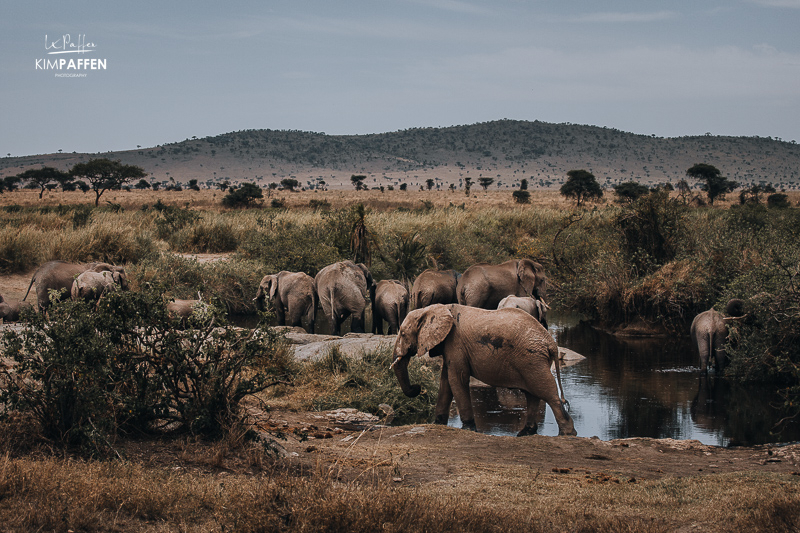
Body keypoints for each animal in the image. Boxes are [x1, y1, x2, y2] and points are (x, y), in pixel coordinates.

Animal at [392, 304, 576, 436]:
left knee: (546, 392)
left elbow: (457, 378)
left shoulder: (455, 343)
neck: (434, 309)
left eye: (402, 334)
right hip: (531, 361)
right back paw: (526, 432)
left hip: (532, 360)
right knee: (532, 394)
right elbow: (446, 381)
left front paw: (468, 428)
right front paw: (437, 423)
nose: (418, 388)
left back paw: (568, 433)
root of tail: (552, 344)